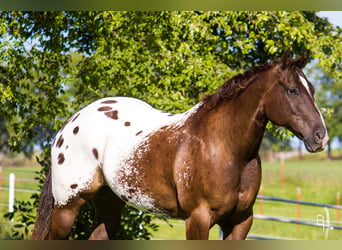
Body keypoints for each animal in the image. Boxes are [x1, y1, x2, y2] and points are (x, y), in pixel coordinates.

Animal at [31, 49, 328, 239]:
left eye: (312, 89)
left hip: (109, 205)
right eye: (292, 90)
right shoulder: (198, 220)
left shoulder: (240, 221)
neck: (225, 148)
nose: (321, 136)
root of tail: (69, 124)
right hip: (67, 207)